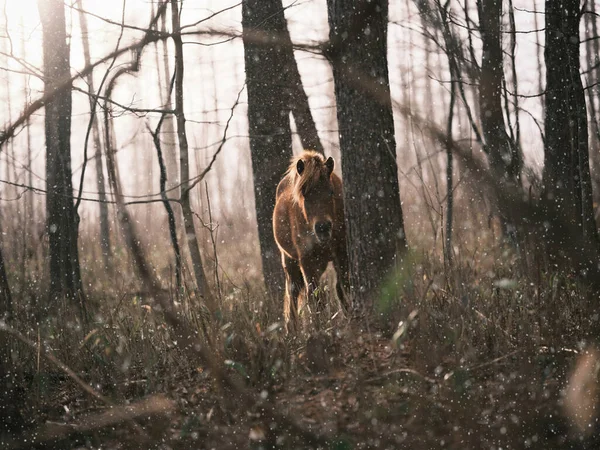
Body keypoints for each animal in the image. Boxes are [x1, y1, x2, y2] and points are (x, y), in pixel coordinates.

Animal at [274, 149, 352, 328]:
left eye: (331, 192)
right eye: (304, 193)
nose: (323, 228)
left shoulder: (341, 252)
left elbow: (342, 287)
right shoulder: (306, 260)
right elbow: (314, 297)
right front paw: (320, 328)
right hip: (290, 261)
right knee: (293, 293)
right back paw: (292, 329)